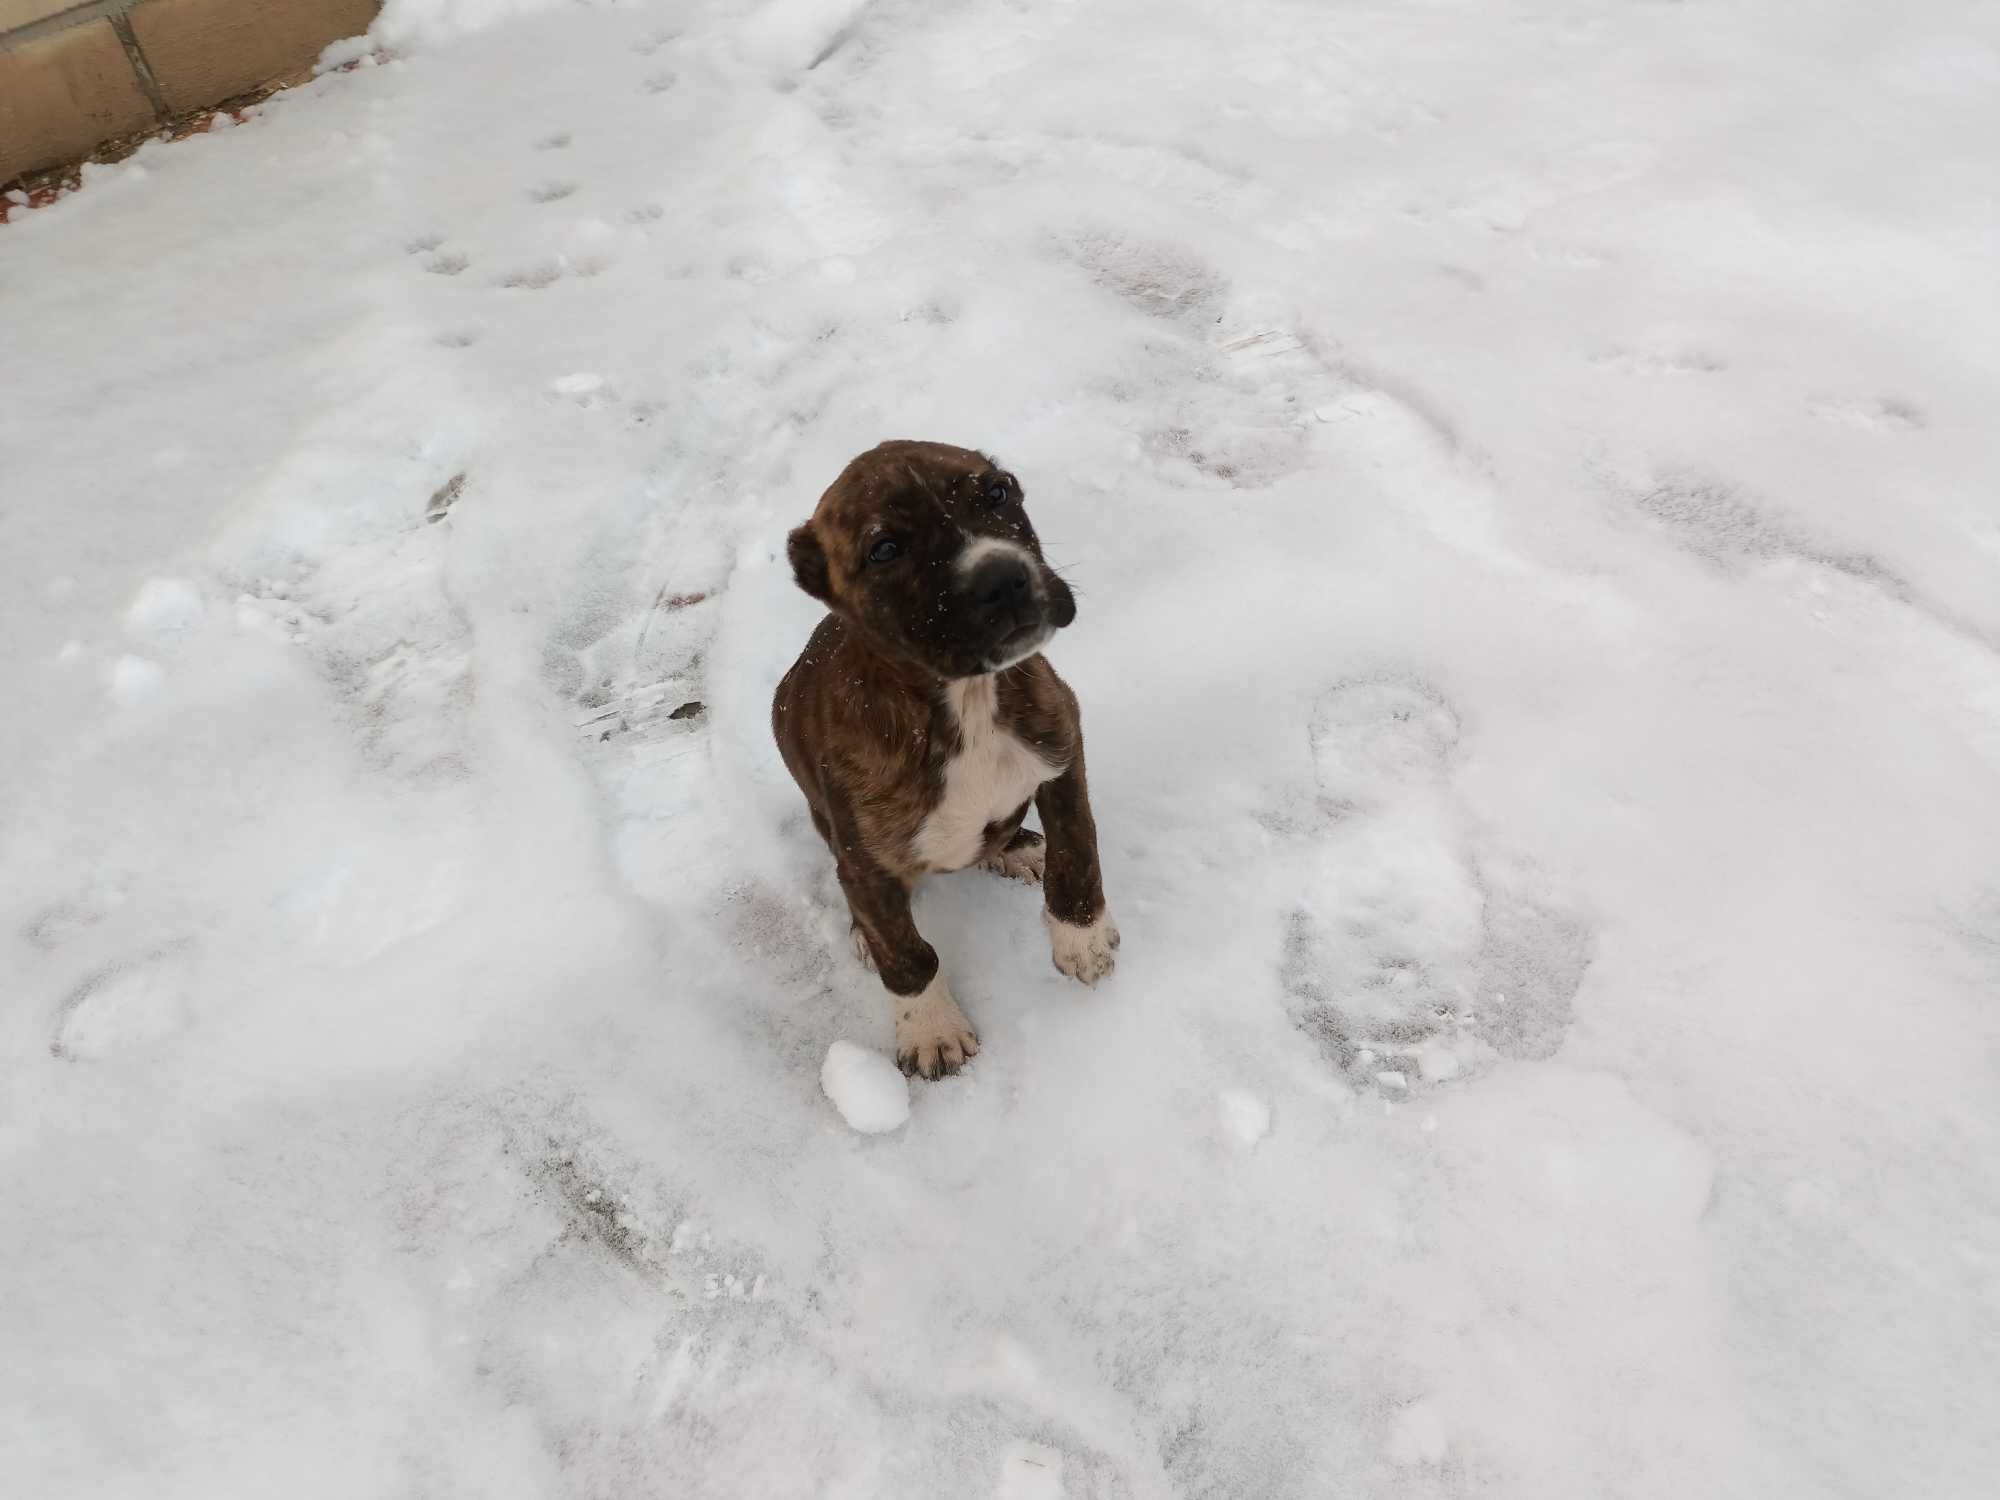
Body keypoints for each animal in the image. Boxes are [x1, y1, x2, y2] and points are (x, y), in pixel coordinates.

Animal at [772, 440, 1120, 1072]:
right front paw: (930, 1027)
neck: (965, 702)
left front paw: (1082, 938)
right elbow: (906, 953)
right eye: (885, 549)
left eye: (998, 492)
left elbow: (1077, 852)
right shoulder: (864, 858)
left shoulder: (1062, 752)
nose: (1004, 578)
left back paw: (1017, 847)